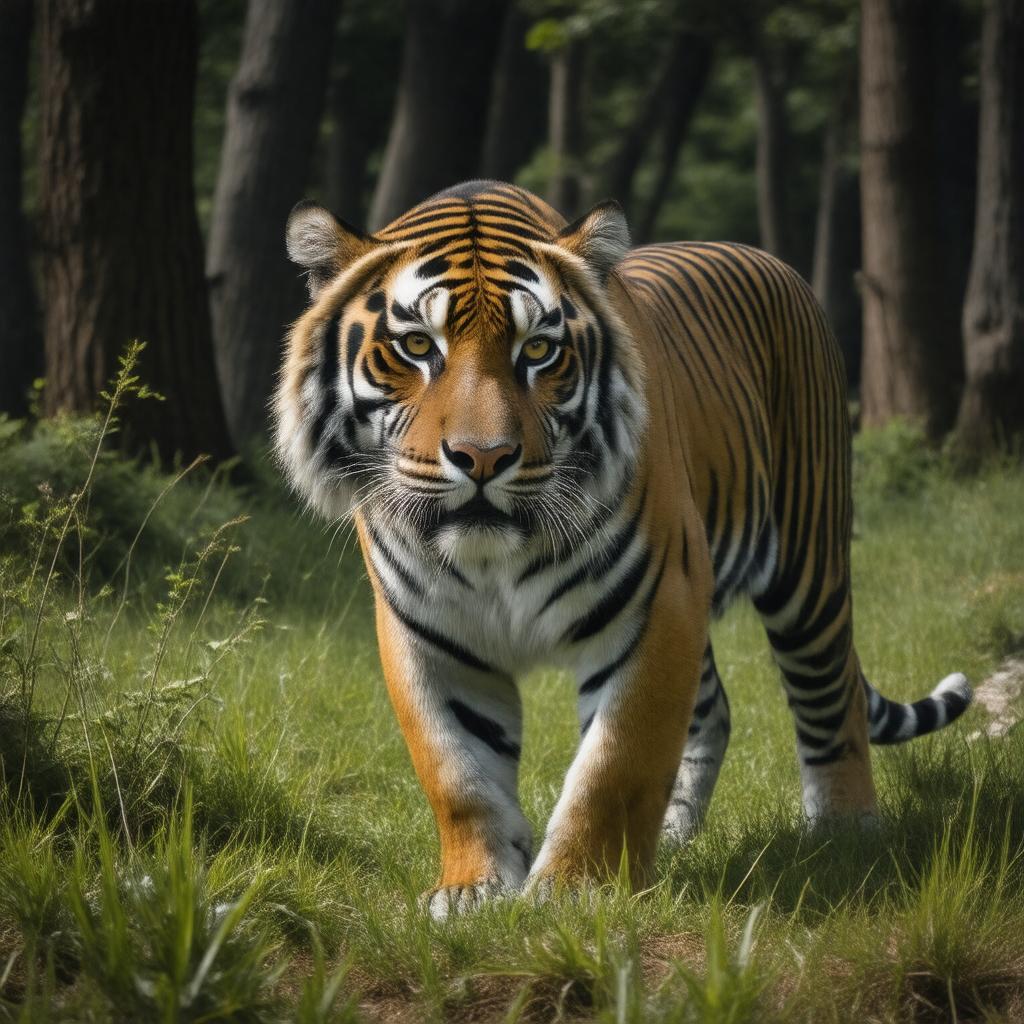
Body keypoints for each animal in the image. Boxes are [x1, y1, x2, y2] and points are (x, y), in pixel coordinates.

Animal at [274, 180, 972, 918]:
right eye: (414, 345)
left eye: (538, 351)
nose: (482, 457)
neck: (493, 561)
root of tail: (767, 257)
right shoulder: (426, 631)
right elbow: (457, 770)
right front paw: (473, 889)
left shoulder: (656, 604)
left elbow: (615, 761)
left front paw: (579, 890)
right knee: (715, 709)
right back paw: (677, 829)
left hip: (806, 562)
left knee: (829, 691)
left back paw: (844, 829)